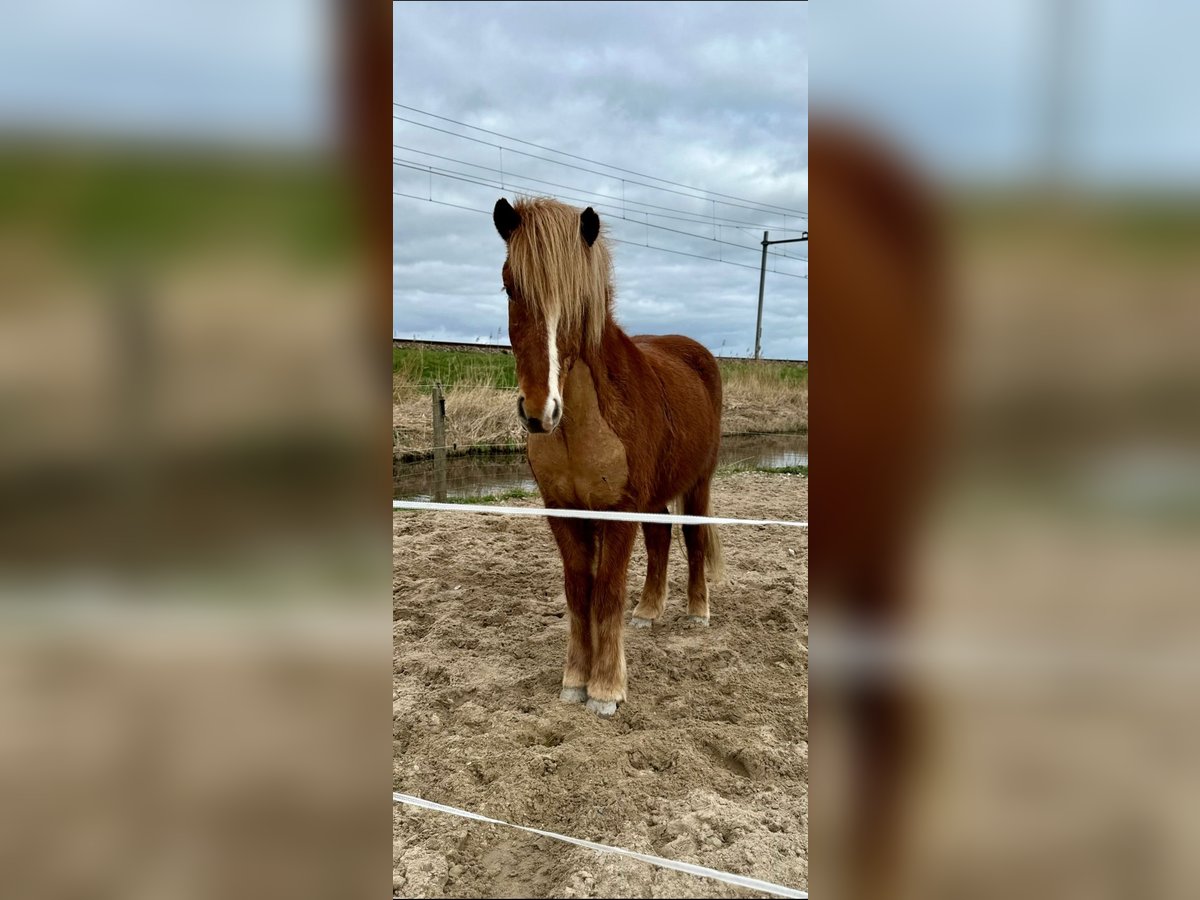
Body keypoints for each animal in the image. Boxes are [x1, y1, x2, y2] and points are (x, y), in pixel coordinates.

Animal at [494, 195, 724, 720]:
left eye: (578, 300)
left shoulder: (619, 511)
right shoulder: (564, 512)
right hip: (656, 497)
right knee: (661, 542)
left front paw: (605, 690)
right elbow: (580, 593)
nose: (538, 411)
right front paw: (574, 681)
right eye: (510, 287)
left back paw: (697, 612)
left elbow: (607, 594)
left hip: (698, 482)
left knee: (694, 539)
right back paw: (649, 611)